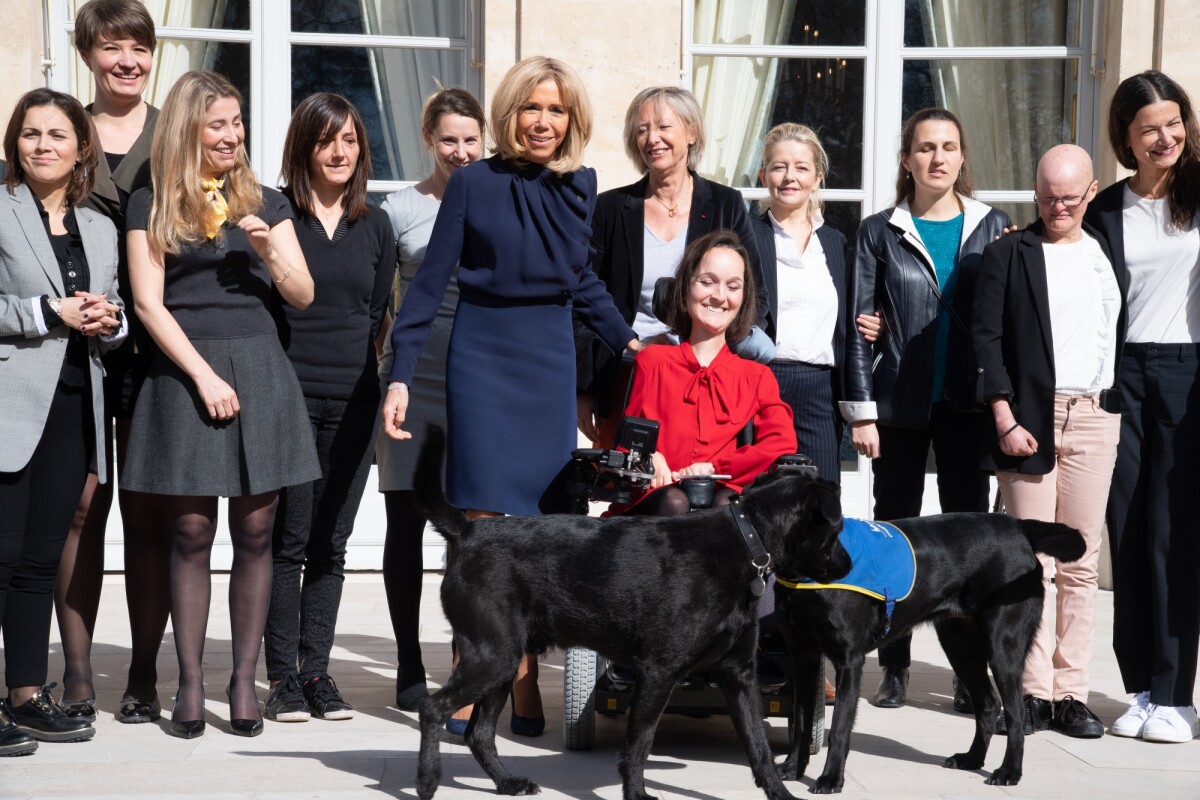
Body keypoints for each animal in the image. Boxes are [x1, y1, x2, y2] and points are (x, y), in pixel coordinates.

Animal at [410, 429, 825, 800]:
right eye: (833, 525)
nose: (841, 564)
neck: (743, 539)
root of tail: (467, 531)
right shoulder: (659, 674)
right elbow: (639, 745)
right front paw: (637, 793)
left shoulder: (739, 676)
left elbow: (759, 747)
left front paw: (780, 792)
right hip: (492, 659)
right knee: (432, 708)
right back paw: (427, 781)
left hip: (504, 664)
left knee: (479, 734)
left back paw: (507, 783)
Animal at [768, 472, 1089, 791]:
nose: (847, 566)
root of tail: (1017, 526)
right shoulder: (802, 657)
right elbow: (801, 720)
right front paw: (792, 769)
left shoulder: (849, 660)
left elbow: (839, 727)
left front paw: (831, 778)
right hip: (960, 645)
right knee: (987, 704)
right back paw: (972, 759)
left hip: (1003, 646)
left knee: (1015, 713)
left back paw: (1009, 771)